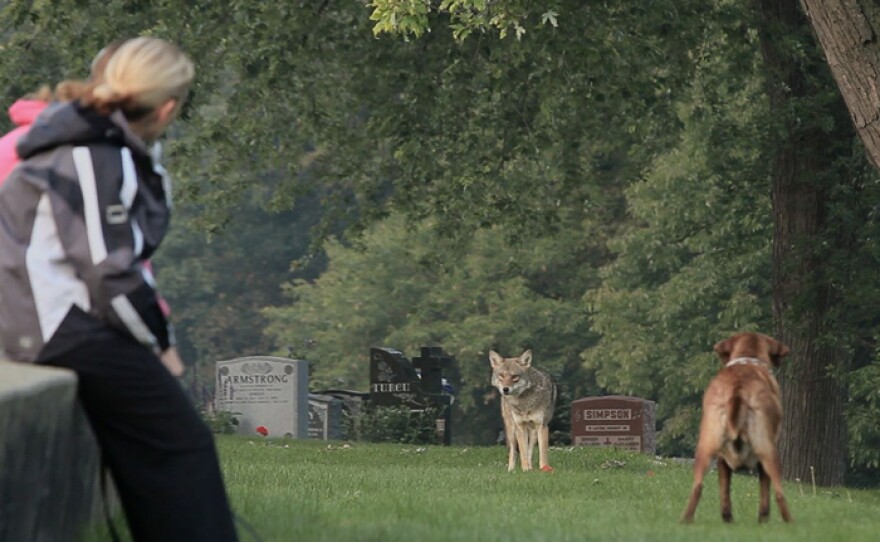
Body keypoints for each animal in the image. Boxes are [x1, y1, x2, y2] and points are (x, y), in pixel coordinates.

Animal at [680, 334, 792, 524]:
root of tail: (738, 389)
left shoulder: (721, 460)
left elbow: (725, 493)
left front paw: (728, 519)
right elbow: (765, 494)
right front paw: (763, 520)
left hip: (705, 446)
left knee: (697, 487)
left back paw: (686, 521)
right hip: (768, 450)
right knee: (779, 492)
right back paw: (789, 522)